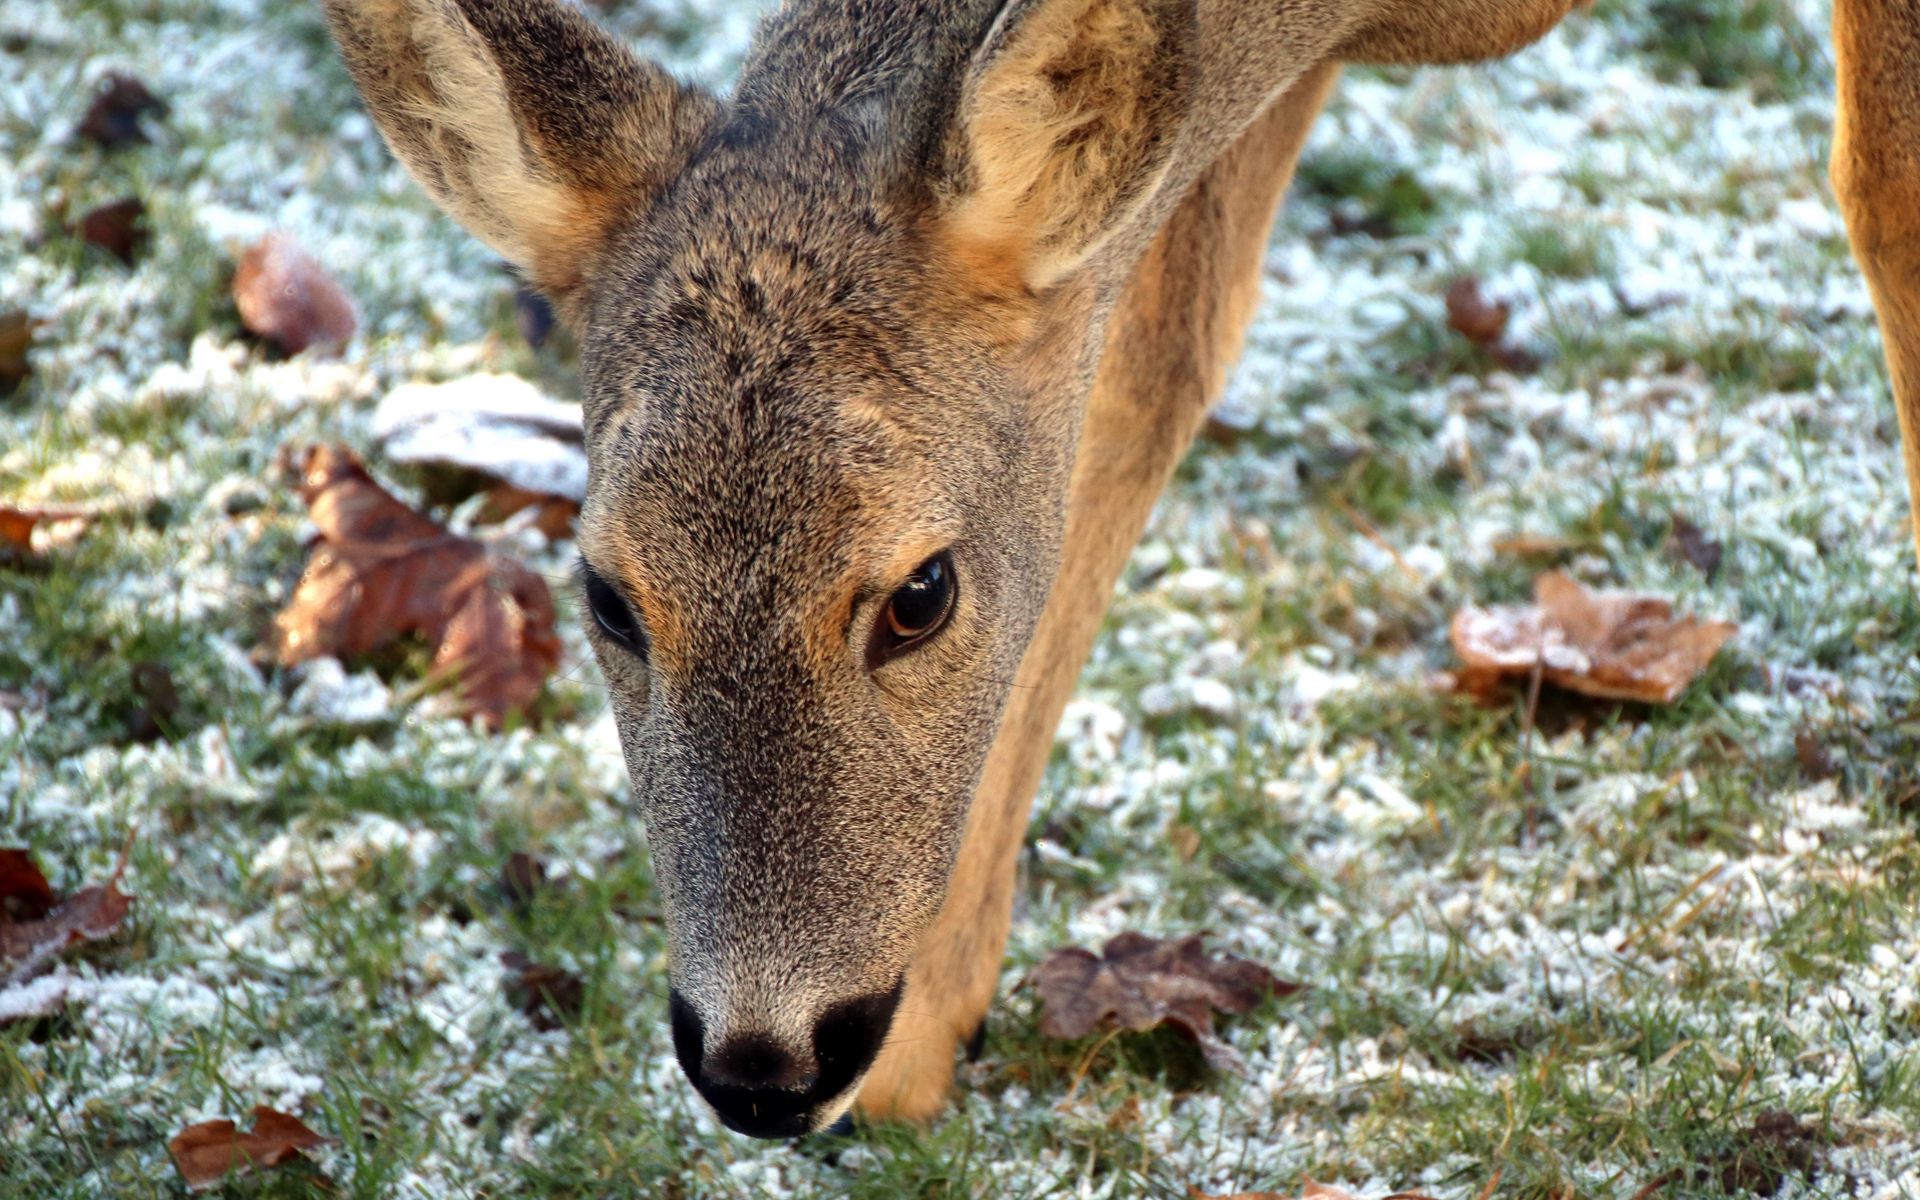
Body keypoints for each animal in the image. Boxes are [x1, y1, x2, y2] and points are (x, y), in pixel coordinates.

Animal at [326, 0, 1920, 1128]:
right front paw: (924, 1040)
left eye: (921, 592)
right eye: (609, 596)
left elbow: (1885, 188)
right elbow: (1156, 371)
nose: (765, 1062)